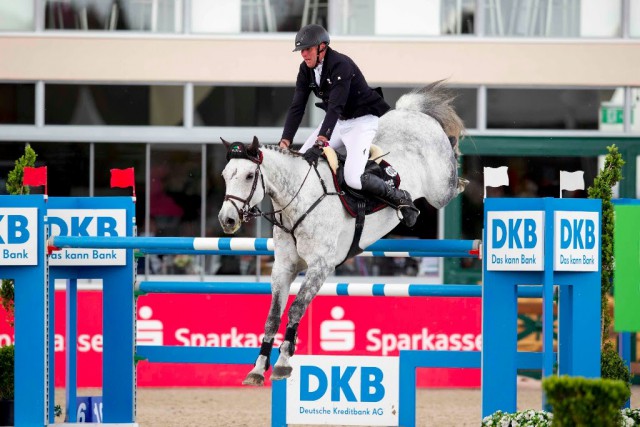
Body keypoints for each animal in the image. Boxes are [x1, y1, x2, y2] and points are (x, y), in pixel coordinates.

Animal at [216, 81, 464, 388]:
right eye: (226, 175)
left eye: (250, 176)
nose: (227, 219)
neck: (297, 197)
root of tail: (413, 114)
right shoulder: (283, 267)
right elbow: (273, 316)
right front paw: (258, 369)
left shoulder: (320, 266)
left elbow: (297, 308)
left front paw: (284, 363)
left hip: (440, 190)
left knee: (451, 180)